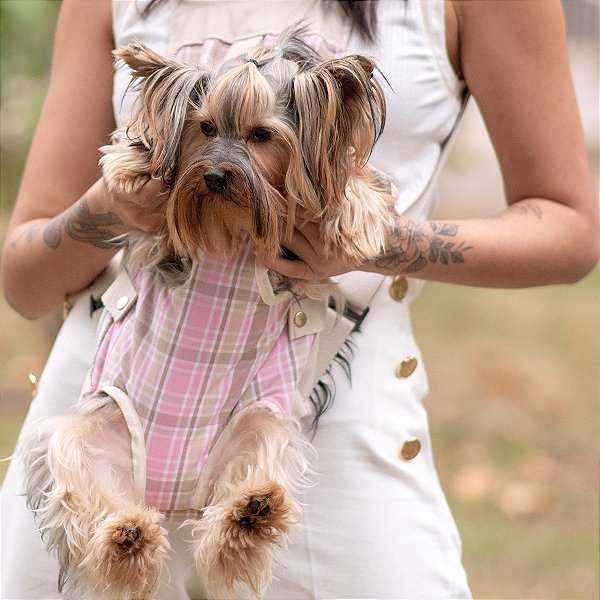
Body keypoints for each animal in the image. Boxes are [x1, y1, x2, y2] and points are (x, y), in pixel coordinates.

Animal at [23, 24, 396, 600]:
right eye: (204, 127)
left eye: (262, 135)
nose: (217, 174)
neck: (231, 220)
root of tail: (170, 497)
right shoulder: (159, 234)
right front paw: (134, 161)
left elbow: (345, 188)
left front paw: (361, 214)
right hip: (82, 434)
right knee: (88, 500)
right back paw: (127, 538)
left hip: (260, 422)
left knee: (237, 506)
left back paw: (250, 515)